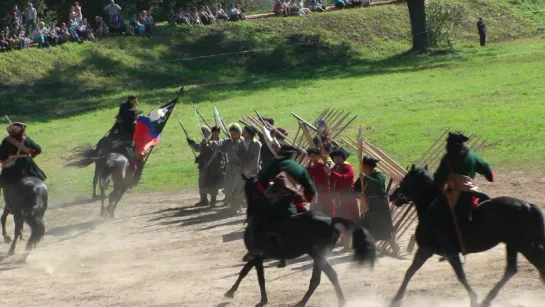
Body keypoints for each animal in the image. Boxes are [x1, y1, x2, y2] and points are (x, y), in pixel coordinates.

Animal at [223, 176, 376, 307]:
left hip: (317, 255)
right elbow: (246, 272)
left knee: (327, 276)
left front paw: (258, 299)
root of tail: (332, 220)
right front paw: (232, 292)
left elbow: (256, 277)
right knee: (318, 279)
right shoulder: (258, 256)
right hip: (318, 256)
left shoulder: (257, 256)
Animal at [386, 166, 544, 307]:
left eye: (406, 180)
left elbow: (459, 276)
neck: (430, 209)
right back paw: (487, 300)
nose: (392, 196)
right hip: (513, 245)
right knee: (511, 270)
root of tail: (529, 206)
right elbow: (411, 271)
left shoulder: (435, 250)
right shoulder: (430, 251)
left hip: (524, 245)